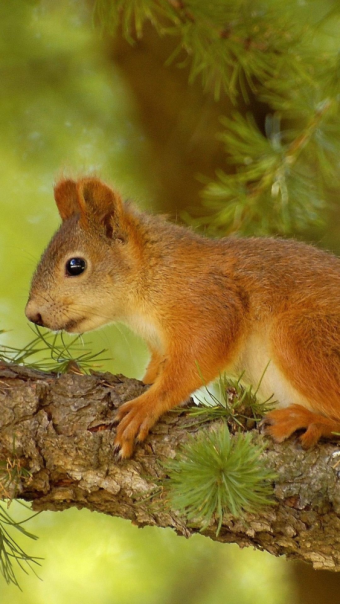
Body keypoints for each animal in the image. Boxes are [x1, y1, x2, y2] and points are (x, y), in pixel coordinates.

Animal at [25, 176, 340, 458]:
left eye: (75, 266)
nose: (32, 314)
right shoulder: (159, 345)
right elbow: (157, 370)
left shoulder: (207, 304)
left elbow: (193, 364)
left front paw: (144, 407)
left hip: (301, 339)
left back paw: (307, 420)